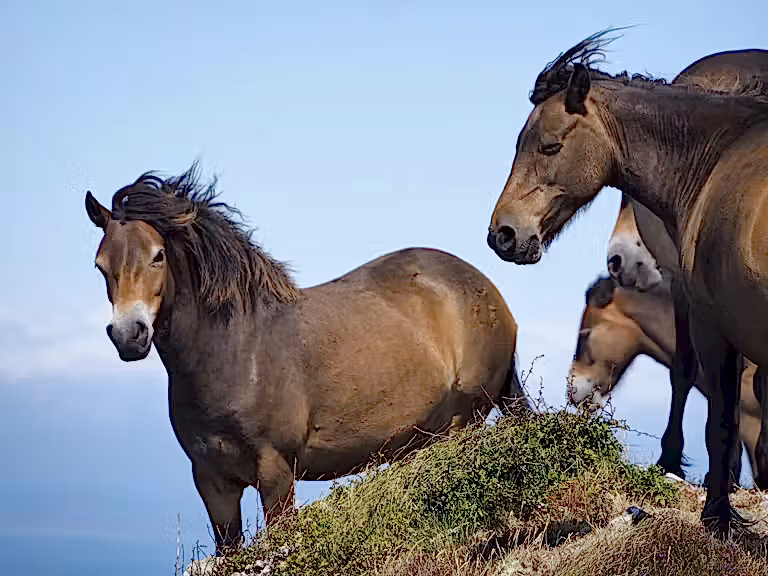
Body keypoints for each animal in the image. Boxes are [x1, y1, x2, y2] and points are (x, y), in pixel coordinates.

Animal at [85, 166, 524, 553]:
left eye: (158, 255)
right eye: (100, 264)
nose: (129, 334)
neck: (235, 350)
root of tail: (486, 289)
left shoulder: (276, 471)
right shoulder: (212, 481)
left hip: (459, 427)